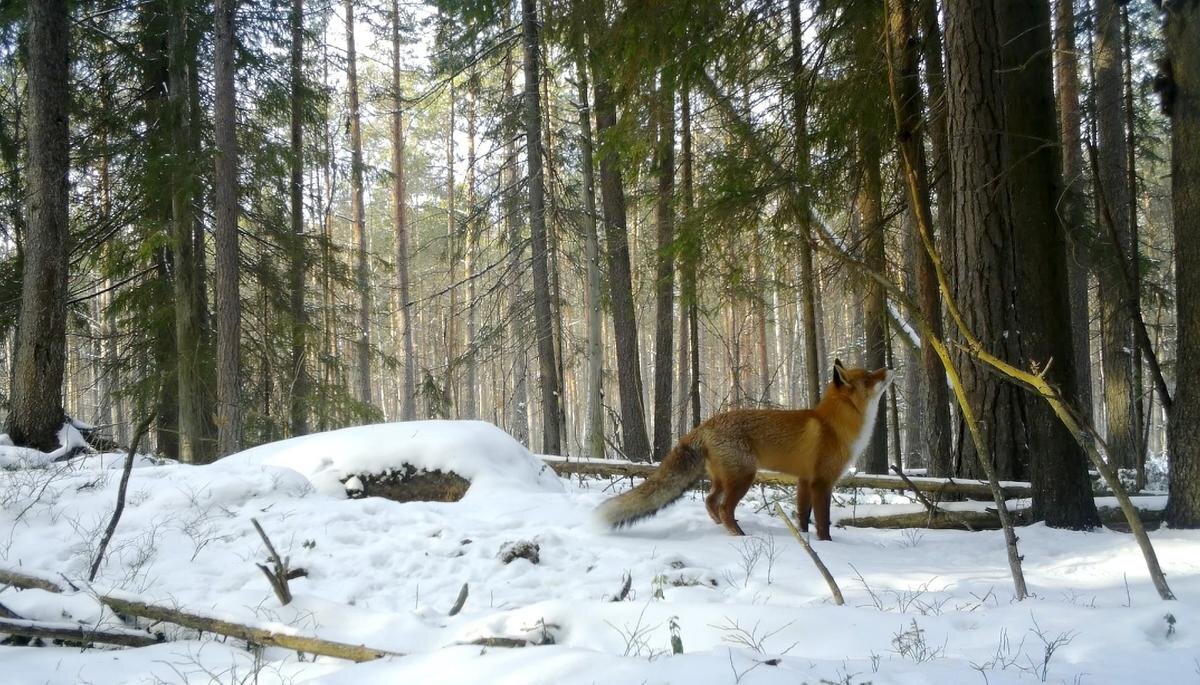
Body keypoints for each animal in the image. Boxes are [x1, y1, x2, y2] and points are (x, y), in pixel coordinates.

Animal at [597, 362, 892, 544]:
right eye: (869, 377)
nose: (890, 368)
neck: (833, 425)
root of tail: (705, 423)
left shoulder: (804, 480)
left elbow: (803, 516)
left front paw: (805, 539)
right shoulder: (822, 482)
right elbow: (823, 521)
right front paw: (827, 544)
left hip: (723, 478)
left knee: (710, 501)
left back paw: (721, 526)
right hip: (744, 477)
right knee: (724, 506)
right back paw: (738, 534)